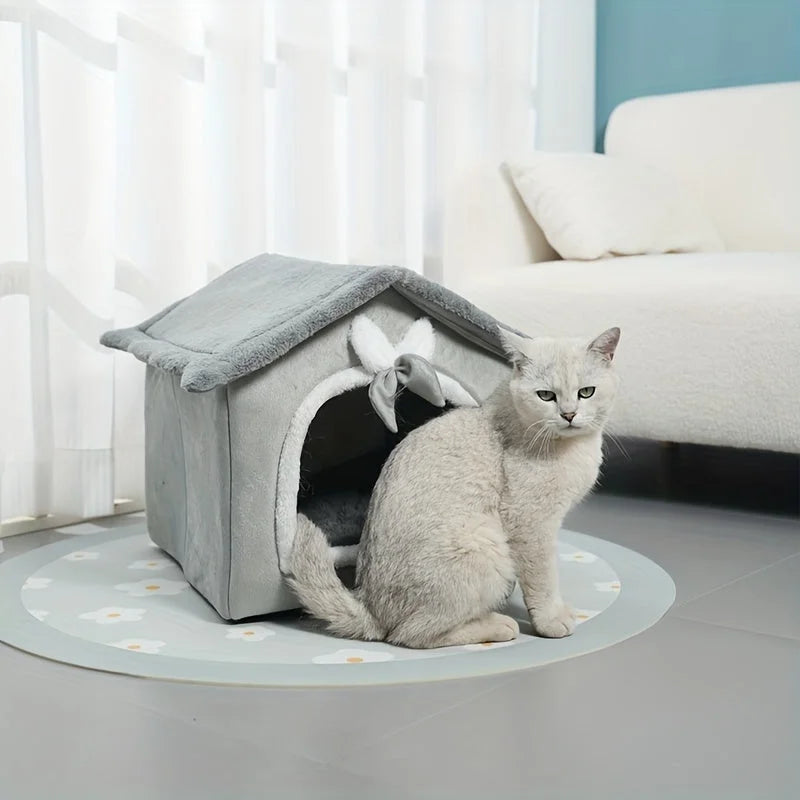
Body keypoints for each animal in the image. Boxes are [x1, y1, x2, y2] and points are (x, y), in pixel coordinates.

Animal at [288, 328, 620, 648]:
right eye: (546, 396)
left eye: (586, 392)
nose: (569, 414)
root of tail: (371, 610)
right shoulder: (532, 525)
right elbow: (544, 580)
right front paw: (552, 620)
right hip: (486, 550)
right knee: (409, 634)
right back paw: (497, 625)